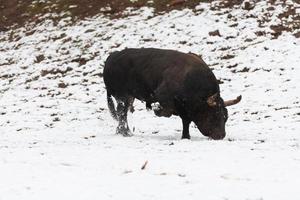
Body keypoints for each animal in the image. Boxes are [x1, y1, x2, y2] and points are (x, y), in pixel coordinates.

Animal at [103, 48, 241, 139]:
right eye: (215, 114)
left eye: (226, 117)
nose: (221, 135)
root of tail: (112, 56)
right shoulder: (163, 96)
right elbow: (167, 111)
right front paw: (156, 109)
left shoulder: (184, 108)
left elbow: (186, 121)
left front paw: (186, 136)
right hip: (122, 96)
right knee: (121, 112)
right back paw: (124, 132)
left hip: (128, 97)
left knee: (123, 113)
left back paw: (124, 131)